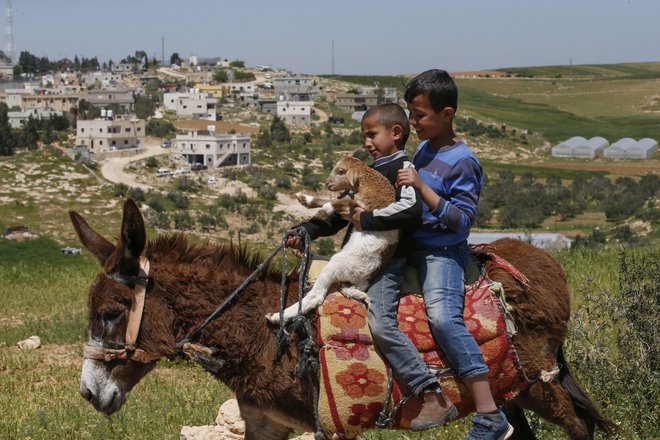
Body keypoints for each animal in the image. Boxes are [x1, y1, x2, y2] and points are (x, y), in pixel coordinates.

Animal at [266, 156, 400, 324]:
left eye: (341, 171)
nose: (327, 183)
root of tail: (365, 279)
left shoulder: (362, 209)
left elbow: (338, 201)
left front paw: (323, 210)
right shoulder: (352, 211)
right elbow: (331, 200)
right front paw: (305, 199)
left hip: (338, 265)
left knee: (317, 295)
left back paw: (277, 316)